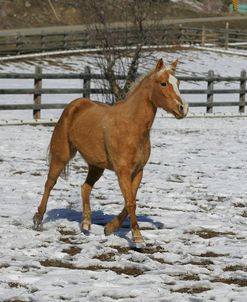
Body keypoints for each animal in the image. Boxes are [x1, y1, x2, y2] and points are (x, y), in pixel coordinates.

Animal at [32, 58, 187, 243]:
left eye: (178, 82)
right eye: (163, 83)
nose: (183, 108)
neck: (132, 126)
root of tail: (74, 105)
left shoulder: (138, 171)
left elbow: (131, 201)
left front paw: (109, 228)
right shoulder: (123, 172)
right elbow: (131, 202)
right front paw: (137, 237)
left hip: (96, 166)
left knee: (85, 188)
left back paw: (86, 224)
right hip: (61, 156)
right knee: (50, 183)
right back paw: (38, 220)